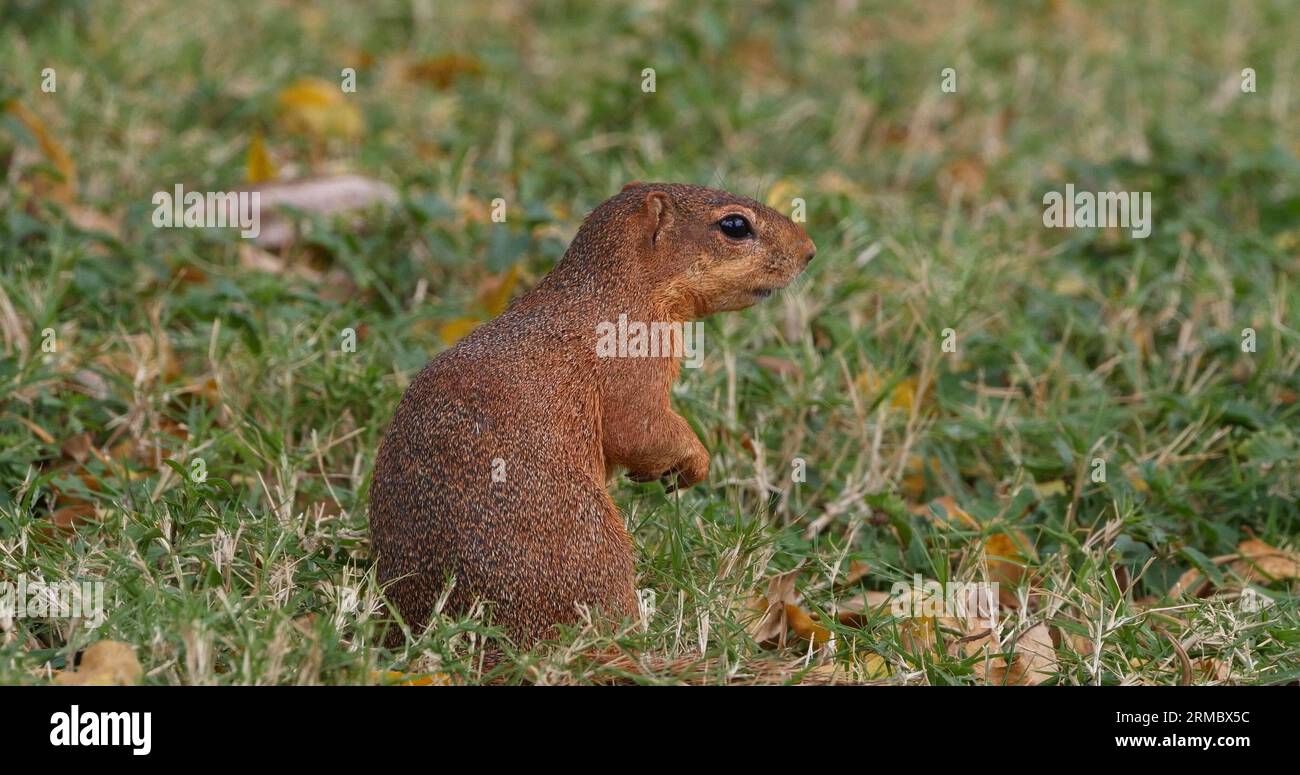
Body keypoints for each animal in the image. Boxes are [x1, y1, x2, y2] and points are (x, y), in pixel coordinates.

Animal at [369, 182, 816, 647]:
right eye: (734, 225)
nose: (810, 251)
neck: (612, 295)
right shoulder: (631, 368)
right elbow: (639, 428)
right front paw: (692, 464)